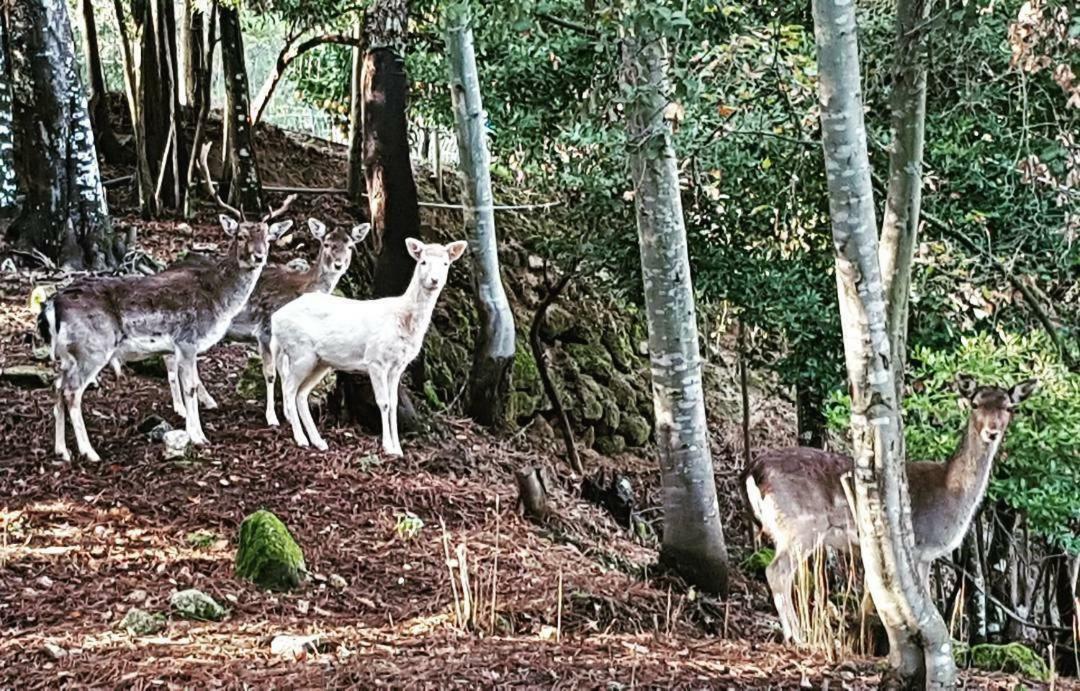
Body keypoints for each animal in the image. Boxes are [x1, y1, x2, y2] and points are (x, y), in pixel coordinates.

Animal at [39, 213, 293, 462]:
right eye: (241, 236)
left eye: (268, 238)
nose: (259, 256)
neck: (218, 299)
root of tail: (52, 305)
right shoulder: (188, 340)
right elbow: (190, 386)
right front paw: (199, 437)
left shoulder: (182, 348)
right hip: (92, 348)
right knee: (71, 392)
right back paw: (90, 452)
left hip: (69, 355)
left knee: (58, 386)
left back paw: (62, 451)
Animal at [267, 236, 466, 453]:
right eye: (423, 262)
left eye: (445, 263)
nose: (434, 280)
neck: (404, 322)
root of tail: (275, 319)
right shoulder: (375, 360)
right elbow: (384, 403)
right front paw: (388, 447)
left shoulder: (399, 366)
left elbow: (394, 404)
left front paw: (399, 449)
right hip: (301, 352)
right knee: (289, 389)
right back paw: (300, 438)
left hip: (320, 362)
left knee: (301, 394)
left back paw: (318, 441)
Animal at [743, 371, 1036, 643]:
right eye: (975, 404)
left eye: (1009, 407)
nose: (992, 432)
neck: (950, 492)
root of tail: (753, 471)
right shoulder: (919, 546)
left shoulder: (925, 555)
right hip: (801, 526)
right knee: (777, 572)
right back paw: (797, 636)